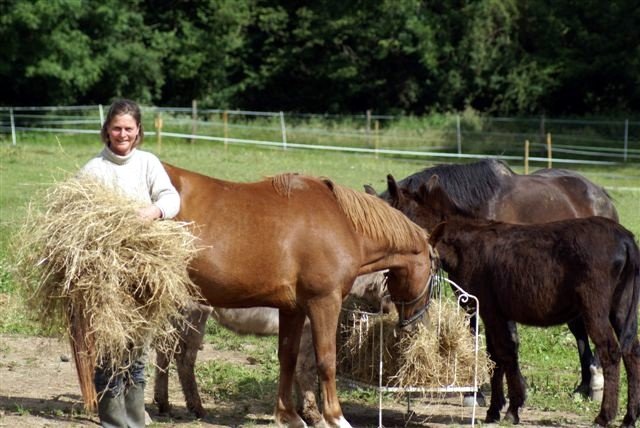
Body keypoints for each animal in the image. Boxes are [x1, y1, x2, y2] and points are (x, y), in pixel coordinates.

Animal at [162, 164, 432, 428]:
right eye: (434, 267)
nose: (417, 322)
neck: (343, 223)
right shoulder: (323, 303)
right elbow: (325, 361)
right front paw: (334, 417)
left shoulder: (293, 309)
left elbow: (288, 358)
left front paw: (289, 415)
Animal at [376, 159, 620, 400]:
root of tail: (601, 195)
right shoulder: (469, 295)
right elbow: (475, 335)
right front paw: (476, 392)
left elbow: (508, 339)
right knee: (580, 331)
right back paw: (584, 387)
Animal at [428, 216, 640, 426]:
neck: (464, 245)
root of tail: (625, 237)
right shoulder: (494, 315)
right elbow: (495, 357)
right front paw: (494, 410)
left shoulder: (490, 311)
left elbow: (504, 353)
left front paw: (512, 410)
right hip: (621, 306)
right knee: (632, 352)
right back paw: (630, 417)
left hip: (594, 308)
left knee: (610, 351)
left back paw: (604, 417)